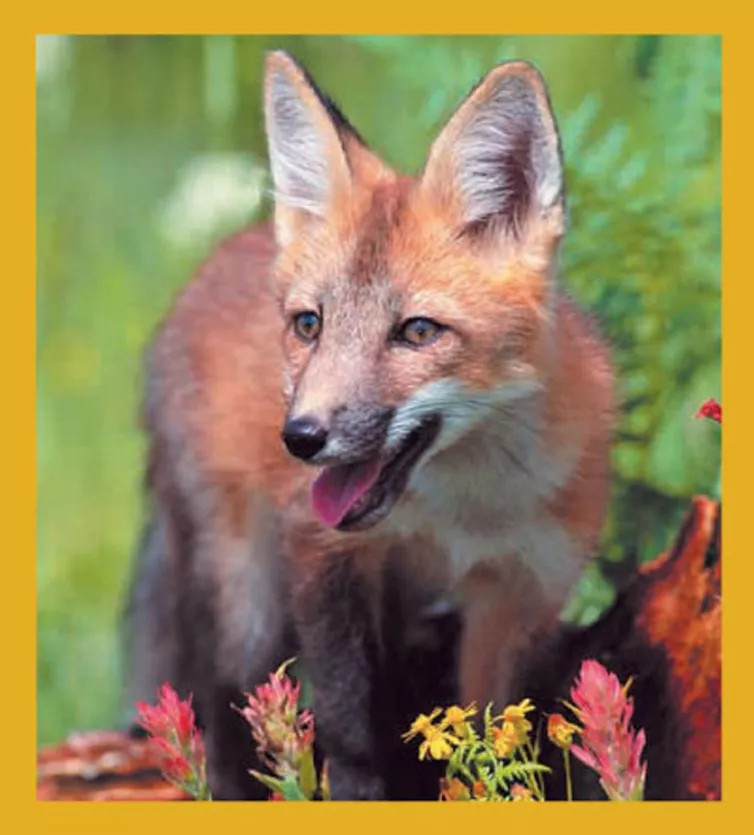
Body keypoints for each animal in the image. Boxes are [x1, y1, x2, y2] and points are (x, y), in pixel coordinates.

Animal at [125, 51, 614, 800]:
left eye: (417, 331)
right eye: (310, 324)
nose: (301, 438)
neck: (466, 515)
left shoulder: (522, 592)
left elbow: (498, 732)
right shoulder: (327, 557)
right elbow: (351, 731)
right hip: (243, 596)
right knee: (226, 714)